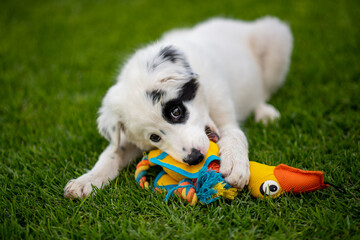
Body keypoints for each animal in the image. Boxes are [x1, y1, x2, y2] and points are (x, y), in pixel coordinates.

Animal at [64, 16, 292, 199]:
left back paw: (265, 112)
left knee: (264, 91)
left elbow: (234, 136)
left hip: (275, 38)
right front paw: (87, 180)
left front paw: (235, 166)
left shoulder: (225, 113)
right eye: (154, 137)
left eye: (176, 112)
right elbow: (111, 153)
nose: (195, 158)